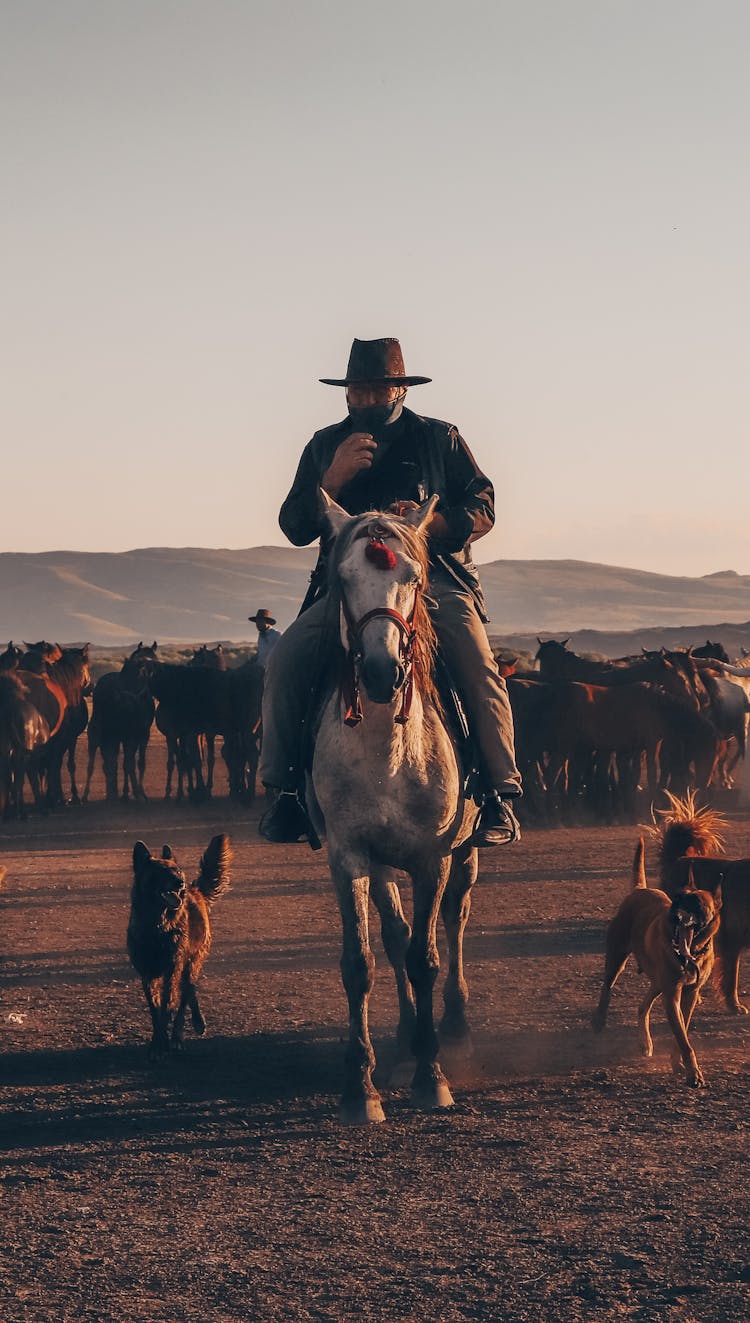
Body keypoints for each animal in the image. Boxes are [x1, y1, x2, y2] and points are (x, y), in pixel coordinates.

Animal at [128, 830, 231, 1058]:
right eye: (160, 871)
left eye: (177, 870)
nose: (180, 882)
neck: (157, 925)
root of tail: (195, 889)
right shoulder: (147, 974)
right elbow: (155, 1010)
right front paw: (157, 1042)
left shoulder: (172, 969)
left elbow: (168, 1006)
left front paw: (165, 1041)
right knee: (188, 990)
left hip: (192, 962)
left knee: (186, 992)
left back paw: (180, 1034)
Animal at [310, 497, 481, 1127]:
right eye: (341, 578)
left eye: (413, 577)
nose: (384, 672)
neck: (389, 752)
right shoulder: (350, 855)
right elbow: (362, 961)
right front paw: (361, 1087)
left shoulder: (434, 856)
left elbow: (426, 958)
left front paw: (433, 1077)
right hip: (384, 863)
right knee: (395, 934)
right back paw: (408, 1034)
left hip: (468, 849)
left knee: (454, 918)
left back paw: (453, 1027)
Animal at [592, 836, 719, 1084]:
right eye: (677, 900)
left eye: (697, 905)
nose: (676, 916)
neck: (690, 953)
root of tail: (640, 889)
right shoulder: (672, 996)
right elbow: (683, 1039)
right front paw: (693, 1073)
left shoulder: (689, 994)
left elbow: (682, 1033)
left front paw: (677, 1063)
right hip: (617, 959)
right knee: (607, 987)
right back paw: (599, 1020)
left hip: (659, 982)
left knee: (643, 1006)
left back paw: (645, 1042)